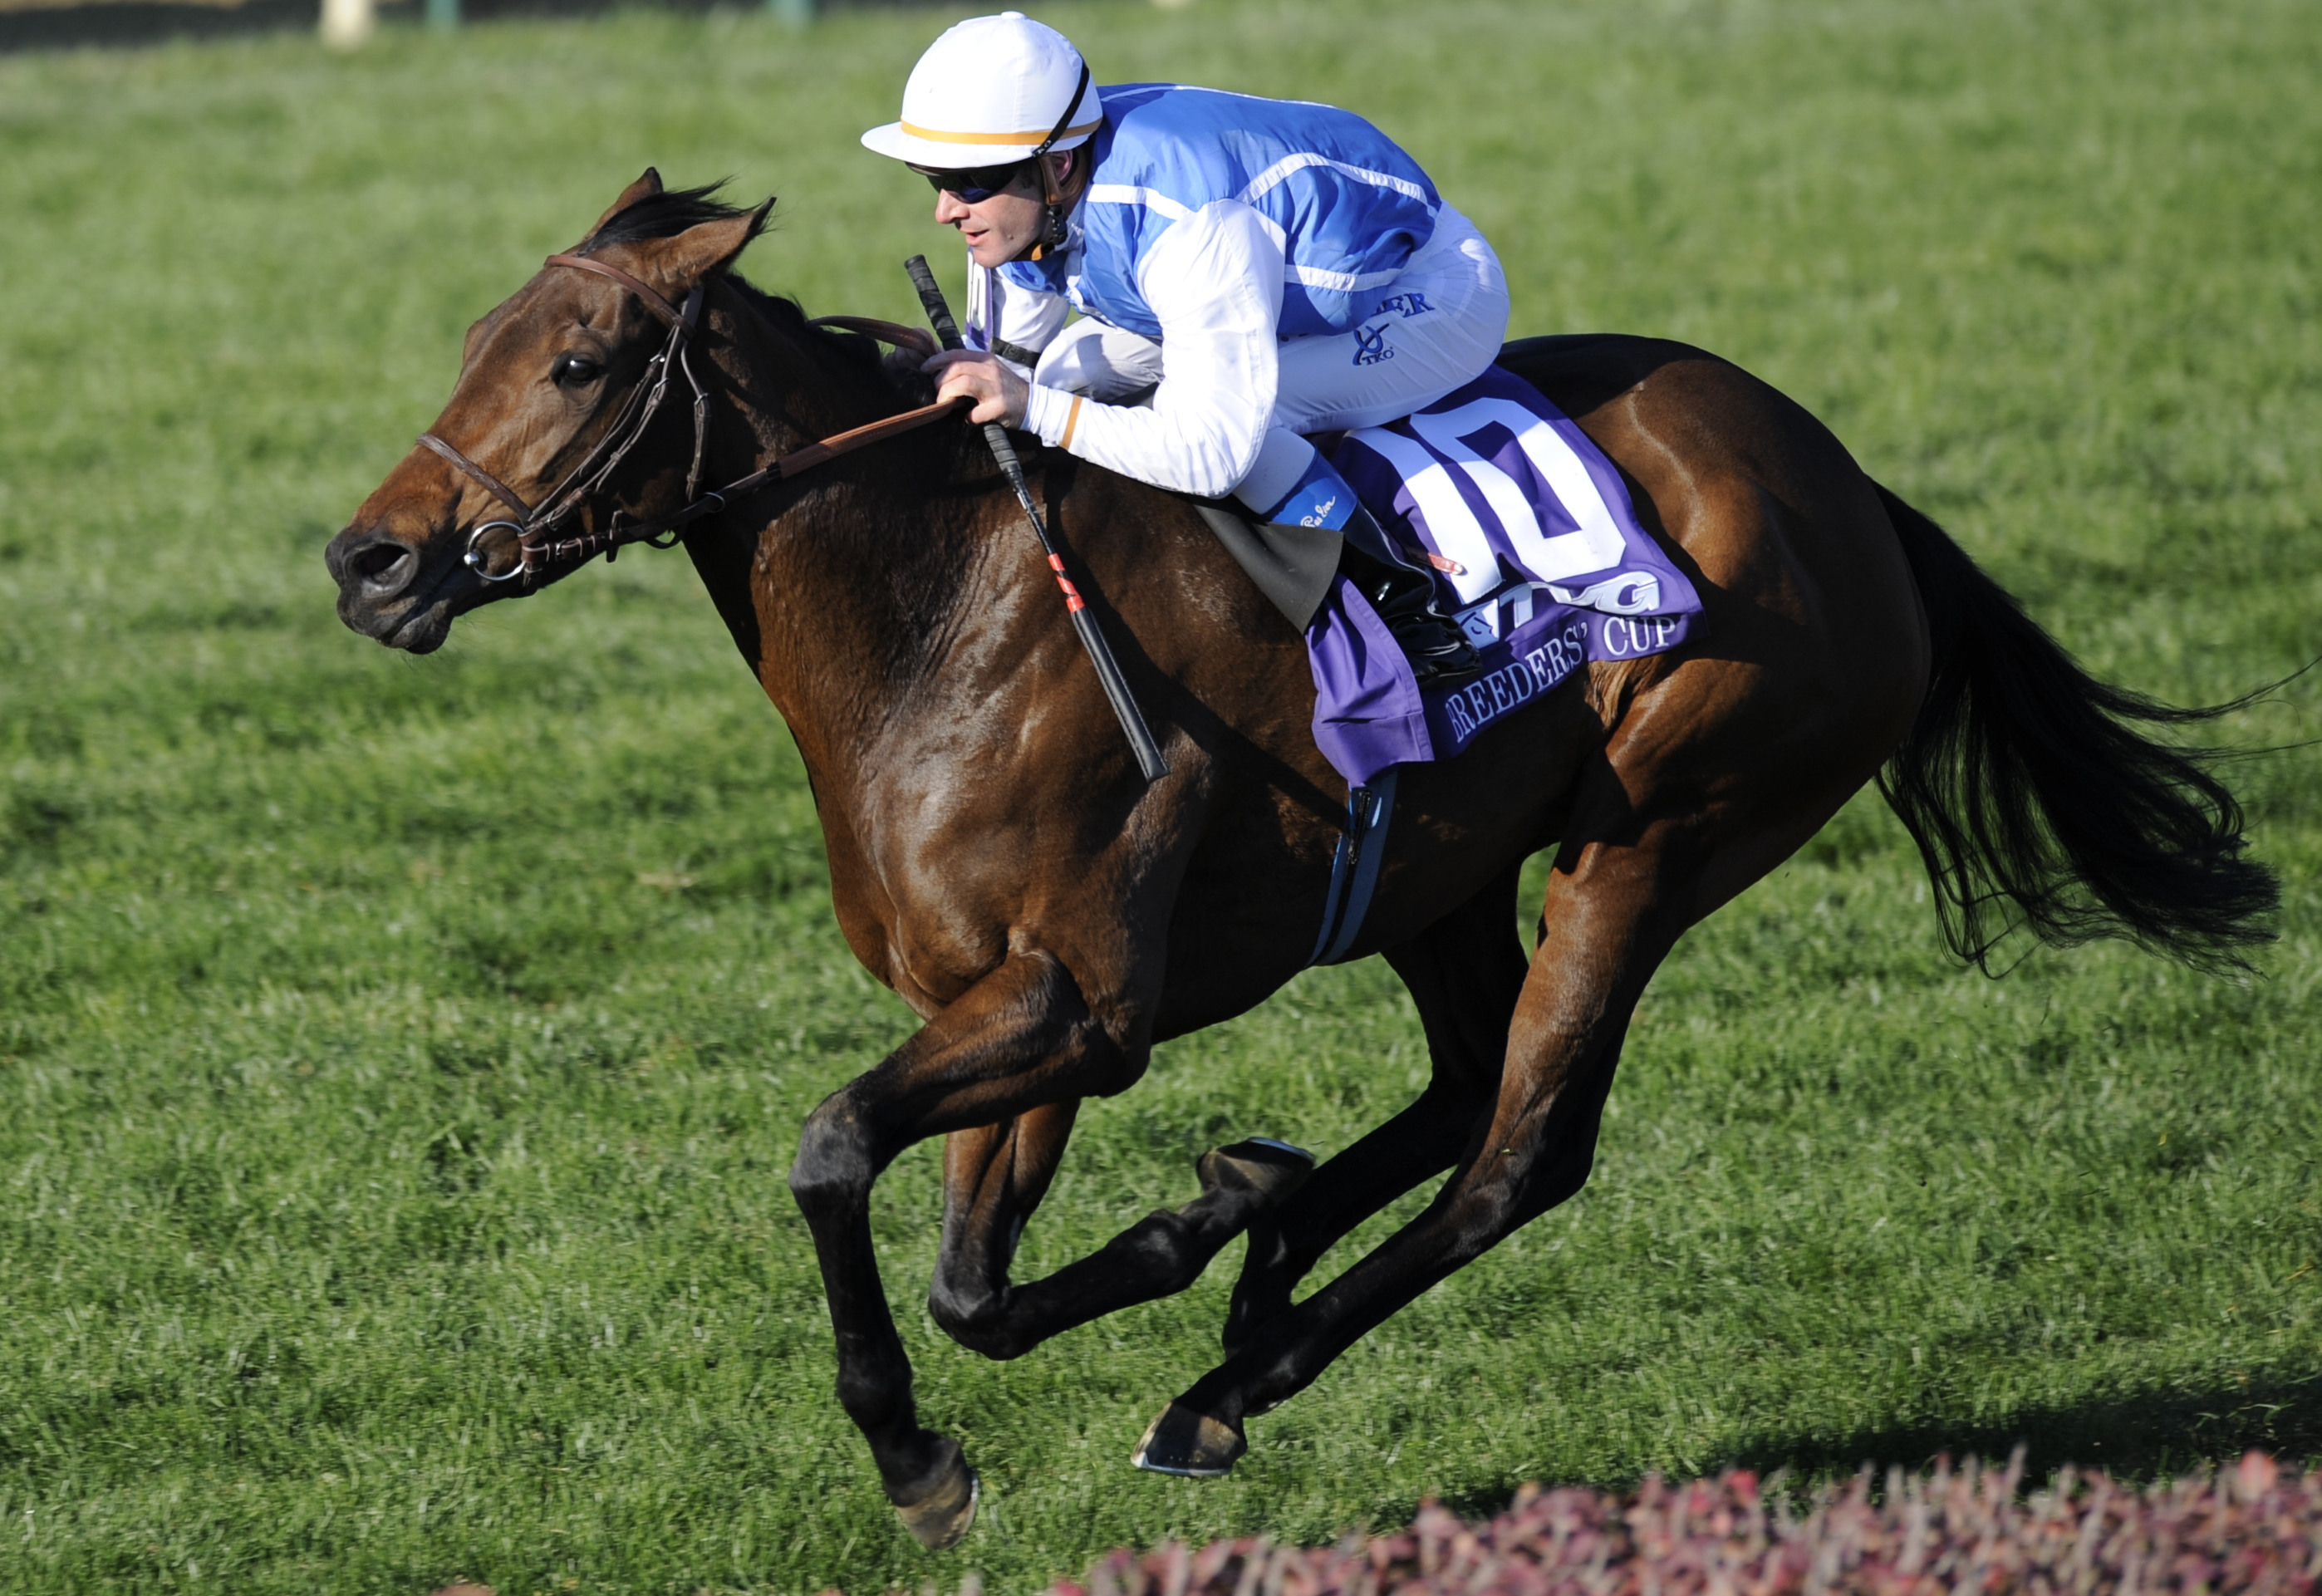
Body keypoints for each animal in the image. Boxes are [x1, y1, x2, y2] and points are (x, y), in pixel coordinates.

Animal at [322, 177, 2266, 1551]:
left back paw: (1233, 1374)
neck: (946, 611)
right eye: (475, 336)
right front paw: (1217, 1207)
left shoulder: (1081, 1003)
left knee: (1522, 1148)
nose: (370, 563)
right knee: (1462, 1084)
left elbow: (831, 1153)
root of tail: (1848, 483)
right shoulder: (1017, 1009)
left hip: (1655, 835)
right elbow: (972, 1284)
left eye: (577, 364)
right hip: (1435, 870)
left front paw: (919, 1453)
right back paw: (1270, 1251)